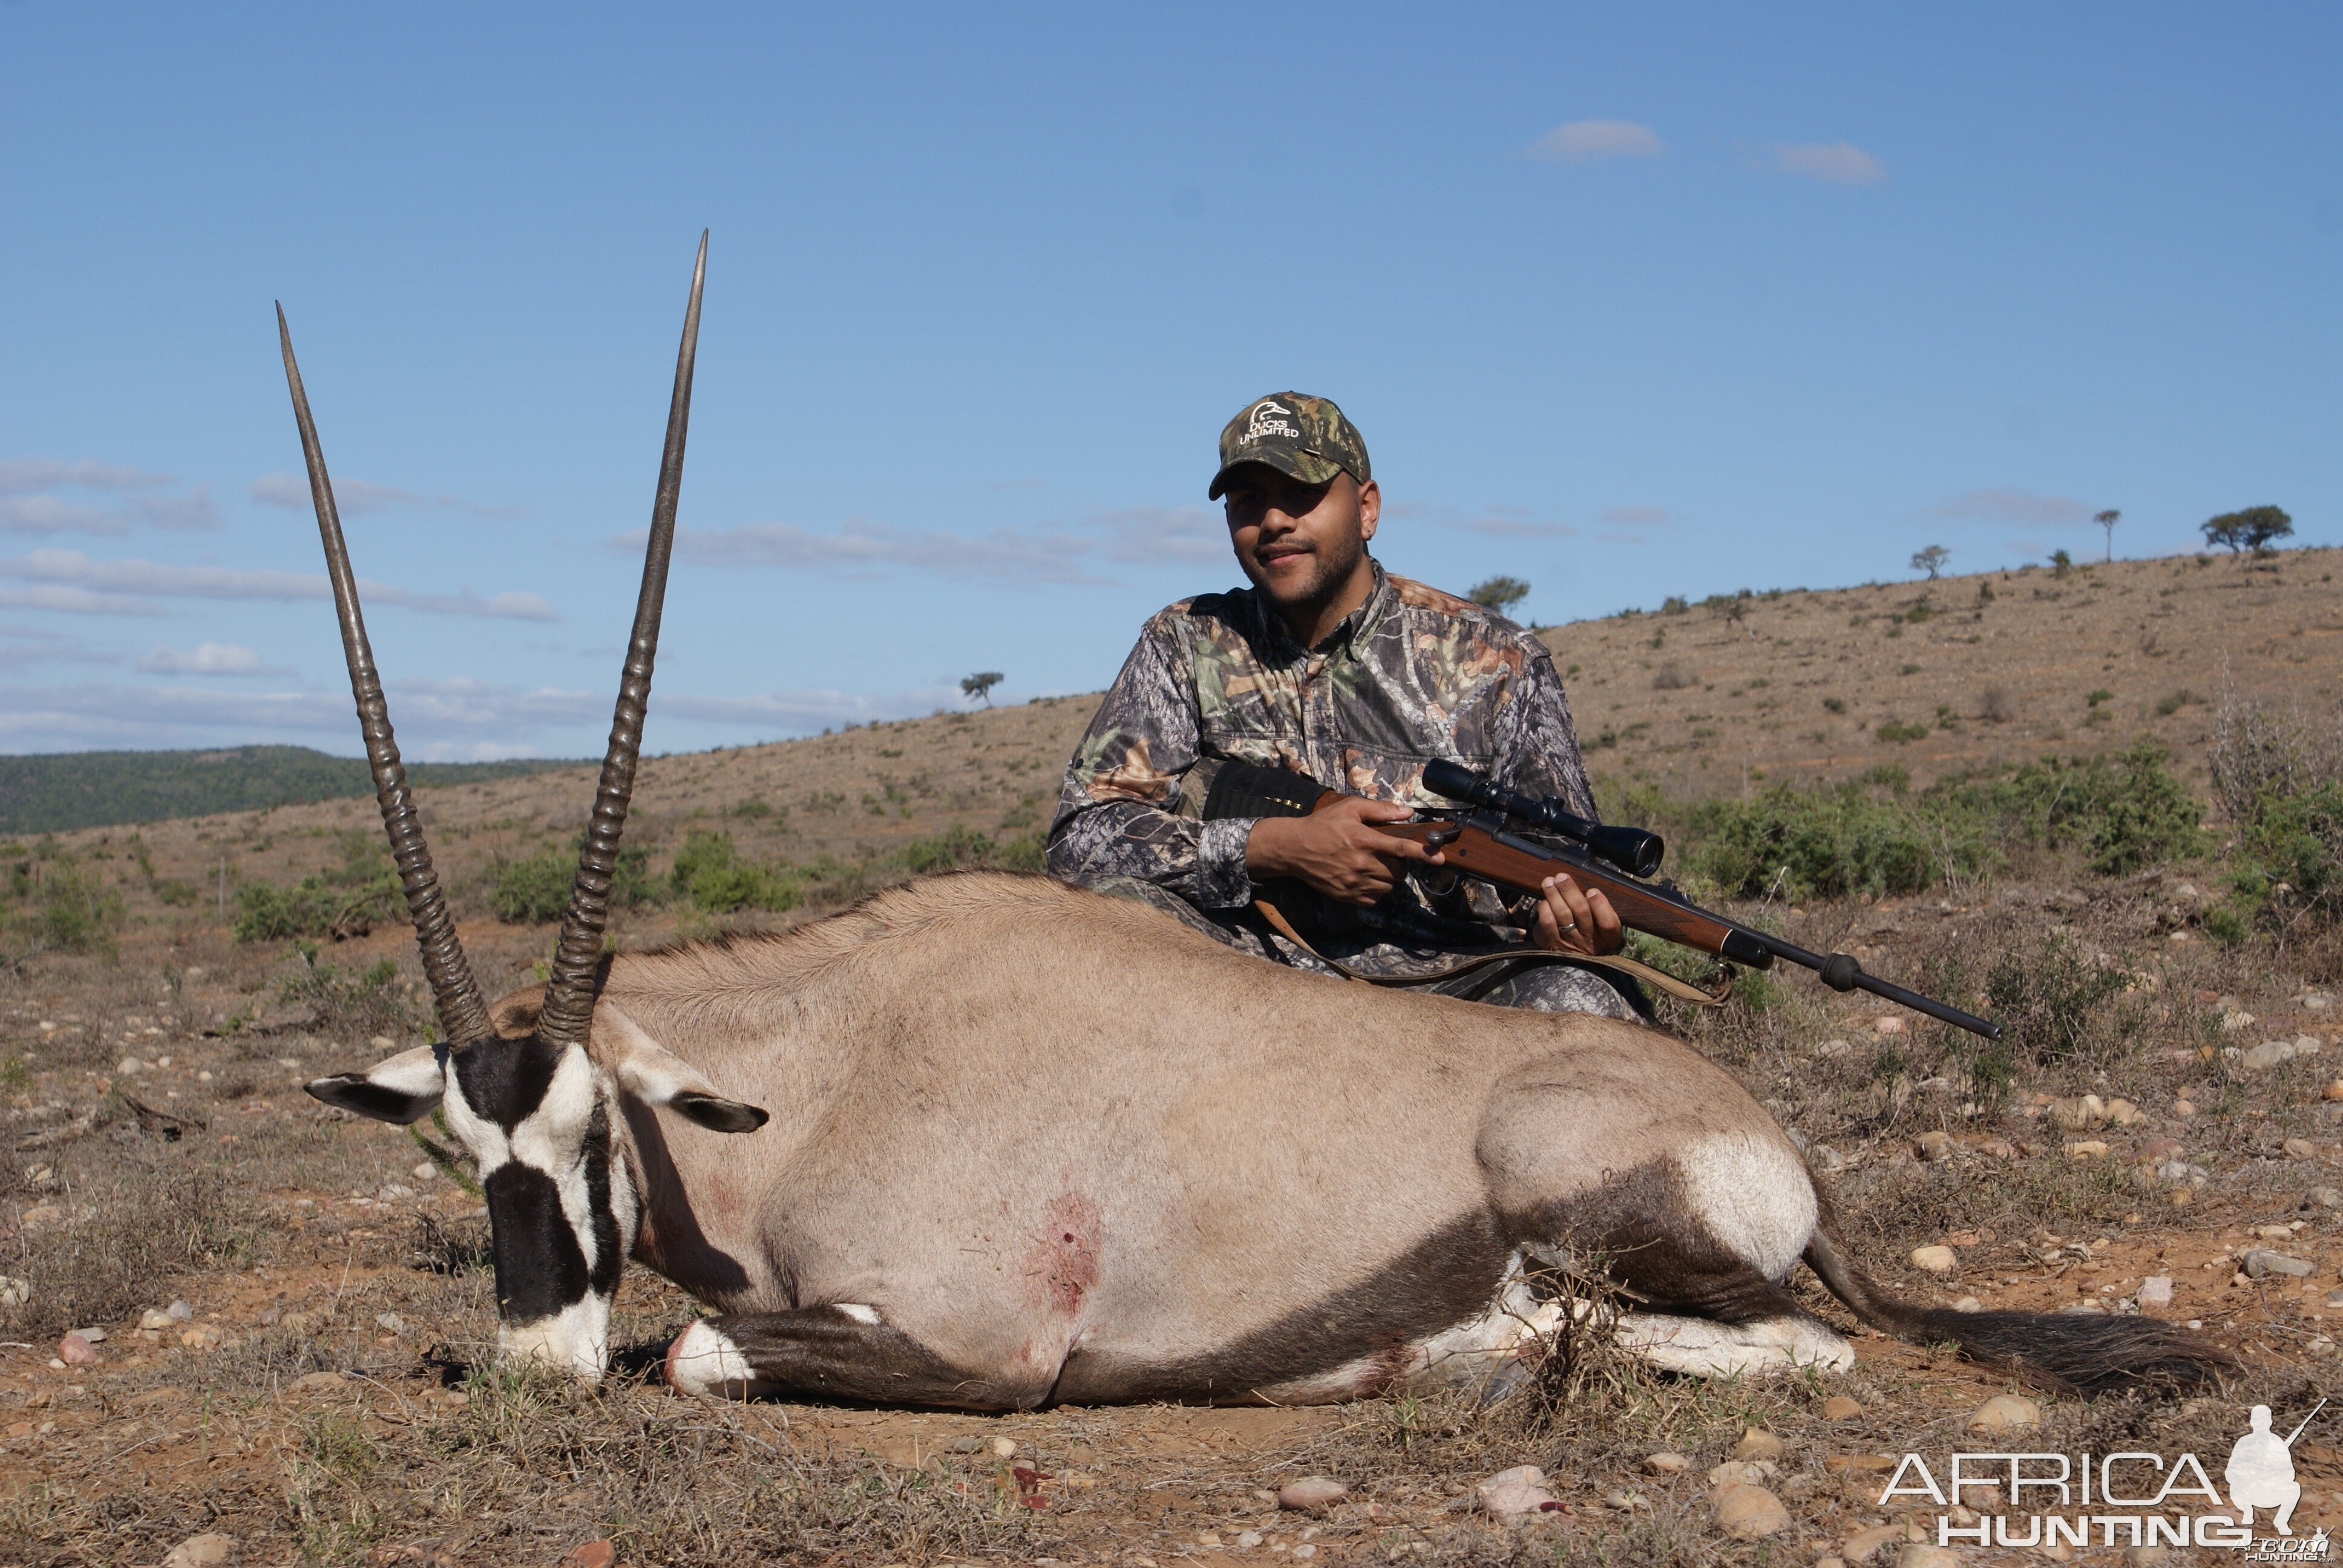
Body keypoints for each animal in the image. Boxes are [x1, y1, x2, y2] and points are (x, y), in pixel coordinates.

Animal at [283, 239, 2221, 1397]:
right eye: (454, 1151)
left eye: (595, 1137)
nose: (534, 1364)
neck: (828, 1061)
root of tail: (1773, 1137)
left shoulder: (986, 1337)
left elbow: (703, 1353)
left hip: (1590, 1206)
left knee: (1784, 1345)